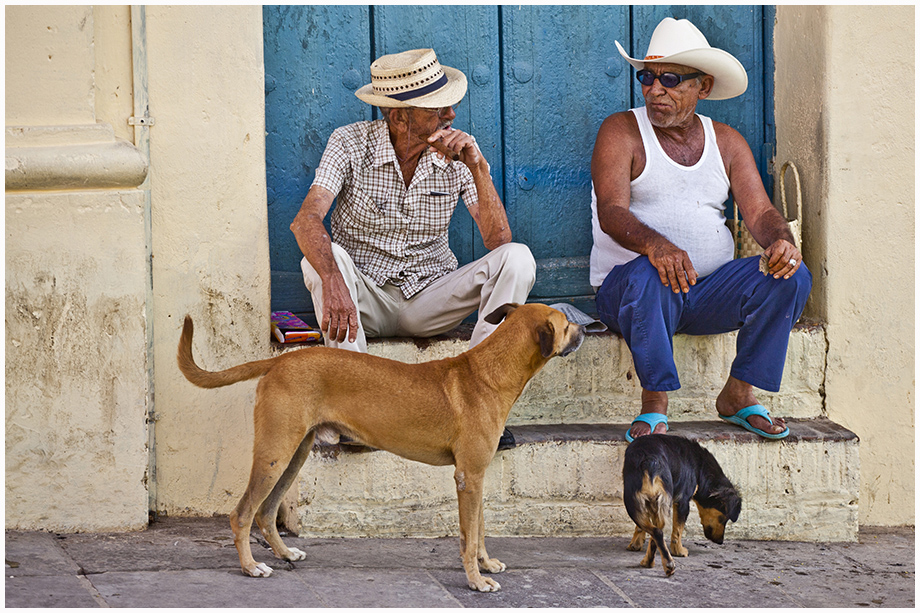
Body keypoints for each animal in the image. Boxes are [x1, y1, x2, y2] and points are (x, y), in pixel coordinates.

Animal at [176, 304, 584, 592]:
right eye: (566, 323)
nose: (587, 327)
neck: (489, 372)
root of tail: (280, 360)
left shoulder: (478, 475)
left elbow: (479, 530)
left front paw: (485, 565)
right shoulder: (469, 476)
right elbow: (469, 538)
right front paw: (476, 580)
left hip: (294, 454)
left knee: (265, 511)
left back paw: (284, 553)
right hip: (274, 453)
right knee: (242, 513)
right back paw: (250, 567)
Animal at [620, 430, 744, 572]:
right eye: (724, 518)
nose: (720, 542)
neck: (700, 469)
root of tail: (649, 460)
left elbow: (641, 528)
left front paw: (636, 544)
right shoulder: (683, 501)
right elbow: (678, 530)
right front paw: (678, 551)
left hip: (640, 501)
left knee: (656, 532)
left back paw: (651, 562)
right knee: (659, 532)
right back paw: (666, 563)